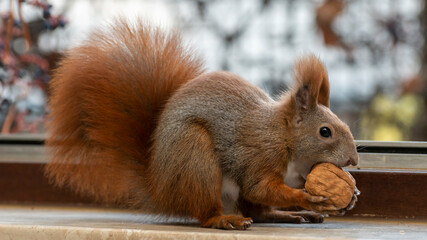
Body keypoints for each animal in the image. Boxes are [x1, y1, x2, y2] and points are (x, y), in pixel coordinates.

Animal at [45, 19, 360, 231]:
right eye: (325, 132)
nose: (354, 160)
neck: (284, 138)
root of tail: (159, 188)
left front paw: (350, 195)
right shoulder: (259, 155)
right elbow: (260, 187)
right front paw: (307, 198)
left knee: (259, 212)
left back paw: (287, 215)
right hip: (194, 156)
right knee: (211, 212)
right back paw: (224, 219)